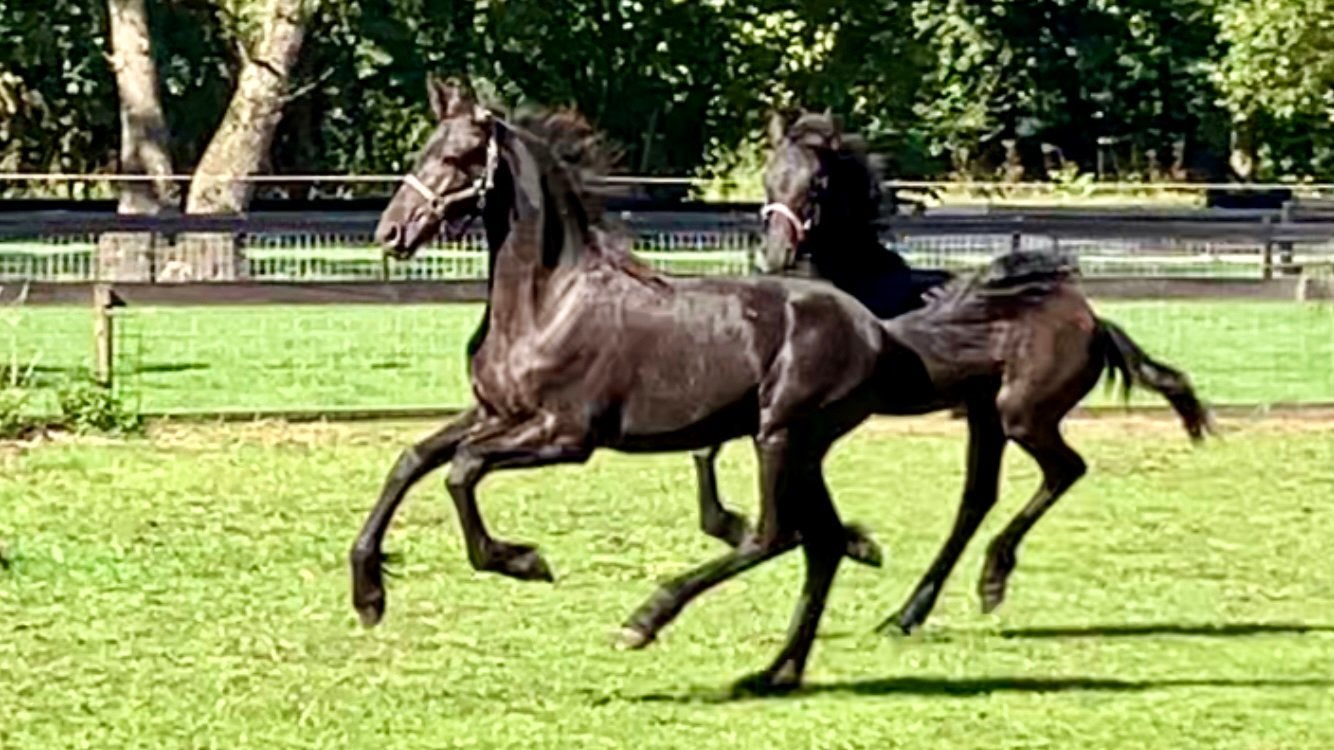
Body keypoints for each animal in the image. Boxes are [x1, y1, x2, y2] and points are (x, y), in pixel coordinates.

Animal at [353, 78, 922, 693]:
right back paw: (778, 669)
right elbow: (412, 460)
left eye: (458, 157)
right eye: (423, 152)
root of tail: (876, 330)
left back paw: (645, 621)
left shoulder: (565, 436)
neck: (547, 303)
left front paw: (525, 562)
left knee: (776, 535)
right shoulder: (493, 412)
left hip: (783, 435)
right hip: (802, 448)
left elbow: (462, 470)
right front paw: (369, 595)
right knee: (822, 542)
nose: (391, 233)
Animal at [753, 109, 1214, 635]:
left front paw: (856, 543)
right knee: (978, 498)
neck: (855, 284)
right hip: (986, 414)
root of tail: (1095, 323)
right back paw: (911, 612)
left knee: (1063, 469)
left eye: (818, 182)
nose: (775, 254)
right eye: (769, 176)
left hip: (1021, 414)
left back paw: (991, 578)